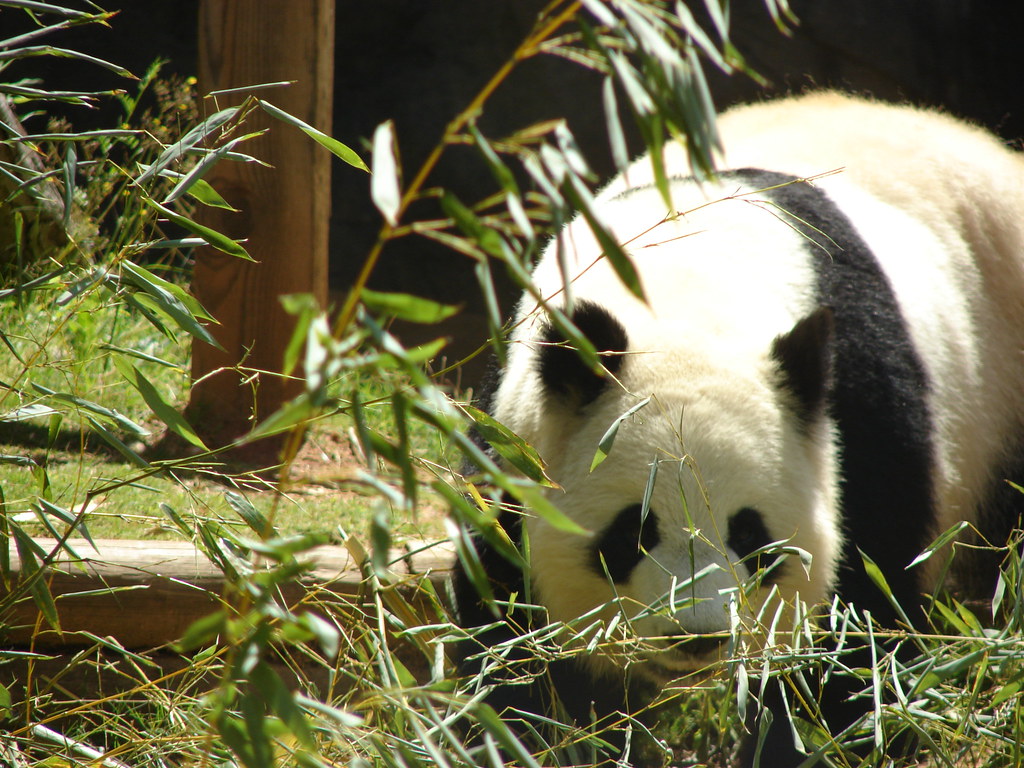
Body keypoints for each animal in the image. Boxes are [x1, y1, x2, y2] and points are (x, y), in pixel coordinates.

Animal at [451, 91, 1024, 767]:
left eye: (750, 534)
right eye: (632, 532)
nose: (695, 636)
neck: (683, 291)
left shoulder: (861, 415)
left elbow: (859, 627)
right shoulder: (515, 434)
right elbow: (508, 621)